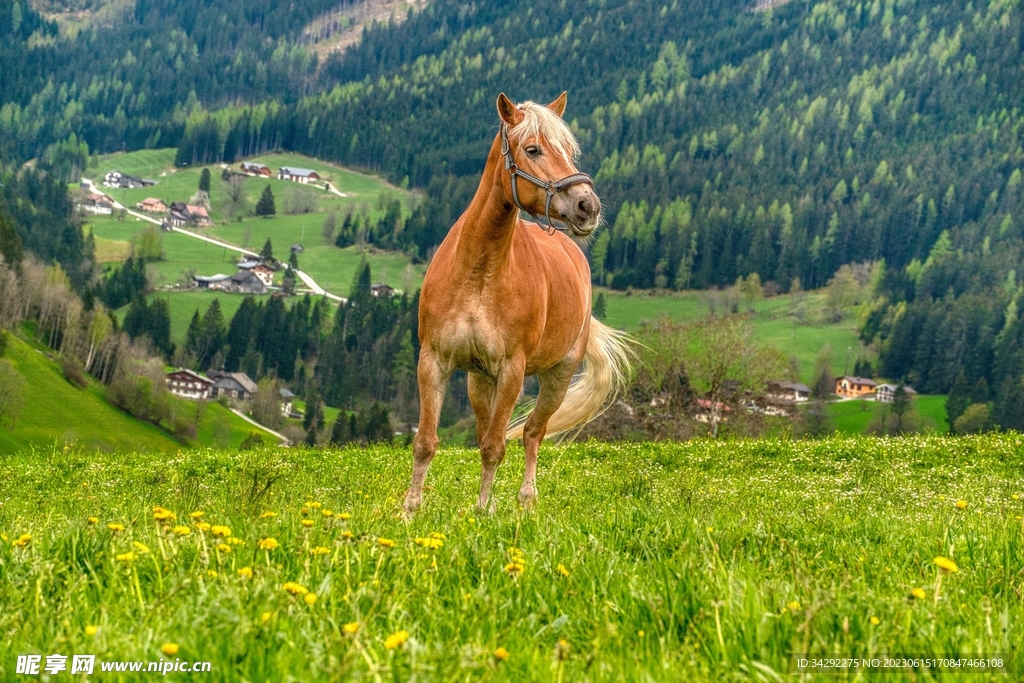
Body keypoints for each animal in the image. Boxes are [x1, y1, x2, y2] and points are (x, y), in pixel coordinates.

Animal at [401, 92, 630, 518]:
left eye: (569, 150)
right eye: (533, 149)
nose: (587, 206)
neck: (478, 273)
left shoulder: (511, 371)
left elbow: (495, 447)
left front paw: (483, 510)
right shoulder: (433, 361)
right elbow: (426, 442)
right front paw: (410, 509)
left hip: (557, 377)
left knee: (532, 433)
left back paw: (526, 499)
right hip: (479, 380)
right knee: (487, 428)